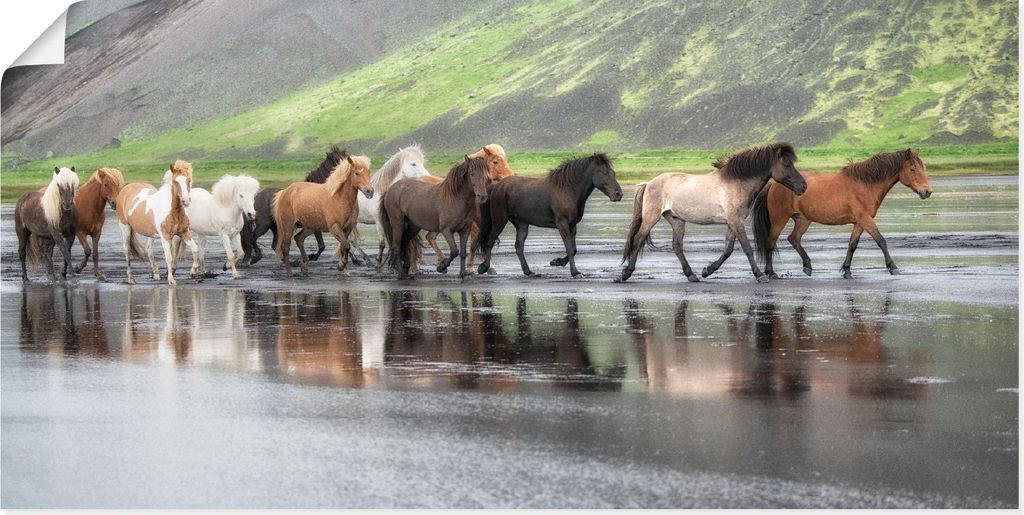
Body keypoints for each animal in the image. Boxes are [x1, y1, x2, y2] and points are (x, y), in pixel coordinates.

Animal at [476, 153, 623, 278]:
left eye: (614, 173)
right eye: (604, 173)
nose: (618, 194)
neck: (567, 190)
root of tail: (497, 187)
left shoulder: (572, 225)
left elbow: (574, 249)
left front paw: (557, 262)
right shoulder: (562, 224)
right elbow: (569, 248)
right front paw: (575, 272)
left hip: (521, 224)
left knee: (518, 247)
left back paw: (528, 272)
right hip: (500, 220)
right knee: (490, 242)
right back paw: (484, 268)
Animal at [618, 142, 806, 284]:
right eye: (787, 164)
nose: (803, 187)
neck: (737, 183)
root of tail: (648, 183)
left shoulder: (733, 222)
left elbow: (728, 250)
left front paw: (707, 270)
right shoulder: (736, 221)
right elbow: (747, 248)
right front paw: (760, 276)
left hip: (676, 219)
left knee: (677, 246)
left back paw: (692, 275)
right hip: (652, 216)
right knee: (638, 239)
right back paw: (625, 274)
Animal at [752, 148, 931, 279]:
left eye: (923, 168)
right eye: (912, 169)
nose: (927, 191)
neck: (865, 184)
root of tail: (774, 184)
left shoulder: (859, 223)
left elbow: (852, 245)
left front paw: (847, 270)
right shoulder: (865, 220)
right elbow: (881, 241)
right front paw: (893, 267)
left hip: (803, 220)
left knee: (794, 239)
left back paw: (807, 266)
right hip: (779, 219)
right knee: (771, 242)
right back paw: (771, 273)